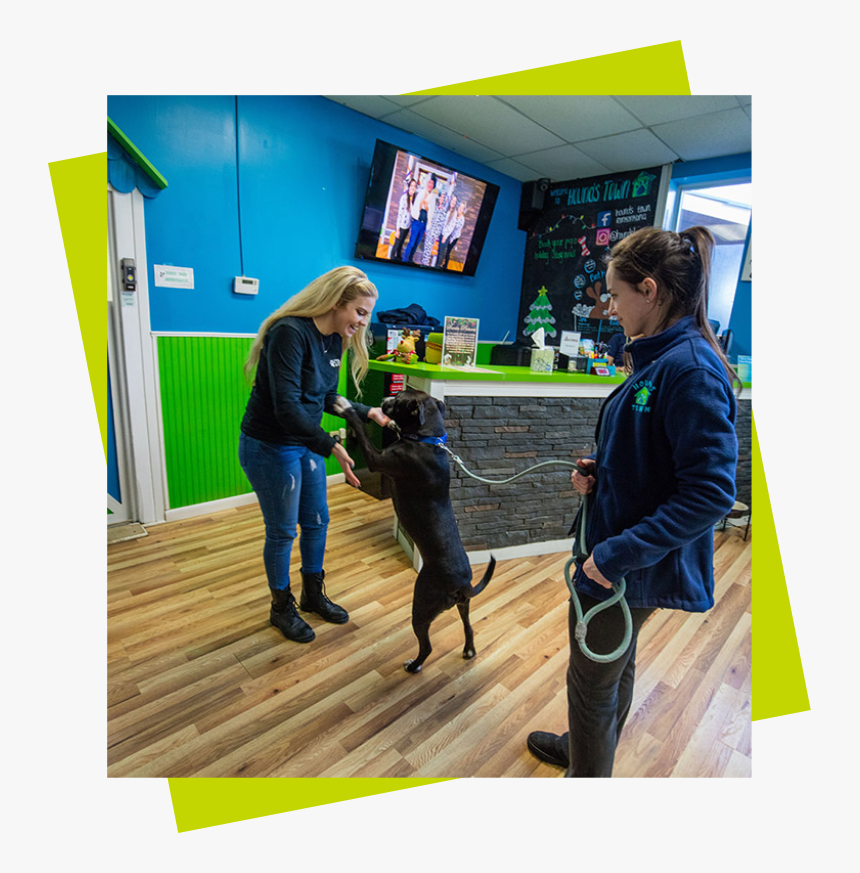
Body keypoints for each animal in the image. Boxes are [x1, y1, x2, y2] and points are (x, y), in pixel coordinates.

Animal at [336, 390, 498, 676]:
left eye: (399, 398)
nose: (385, 400)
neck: (427, 440)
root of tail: (463, 584)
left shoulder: (377, 459)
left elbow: (361, 429)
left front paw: (346, 408)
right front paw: (389, 424)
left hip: (421, 606)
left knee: (427, 646)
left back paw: (414, 666)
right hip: (463, 605)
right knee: (469, 627)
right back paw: (468, 651)